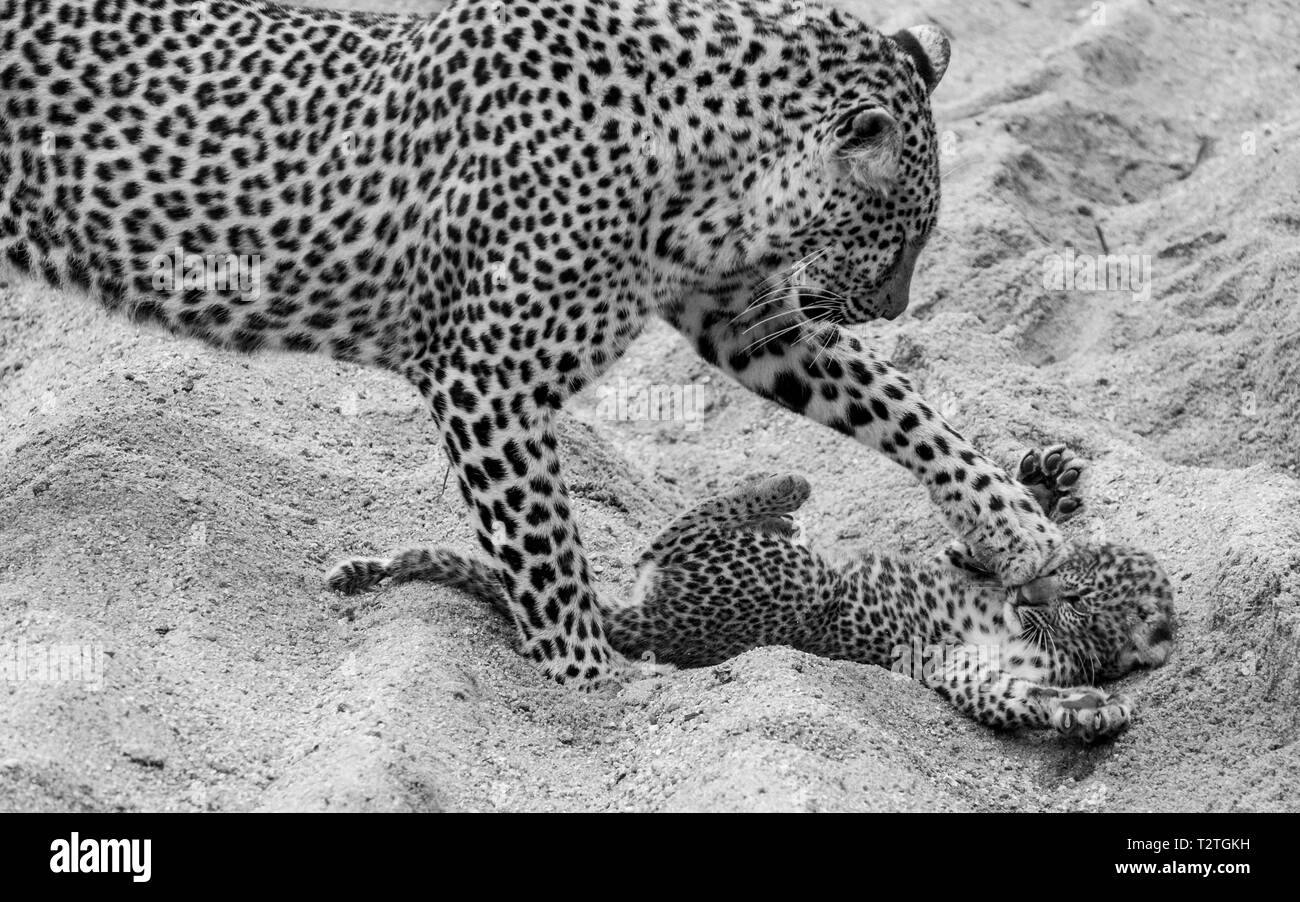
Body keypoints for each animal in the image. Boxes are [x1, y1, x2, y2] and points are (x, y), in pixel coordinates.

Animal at [0, 0, 1060, 691]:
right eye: (907, 232)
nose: (890, 304)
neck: (704, 161)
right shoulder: (488, 378)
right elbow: (545, 549)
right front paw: (592, 680)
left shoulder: (743, 316)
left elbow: (900, 405)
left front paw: (1018, 528)